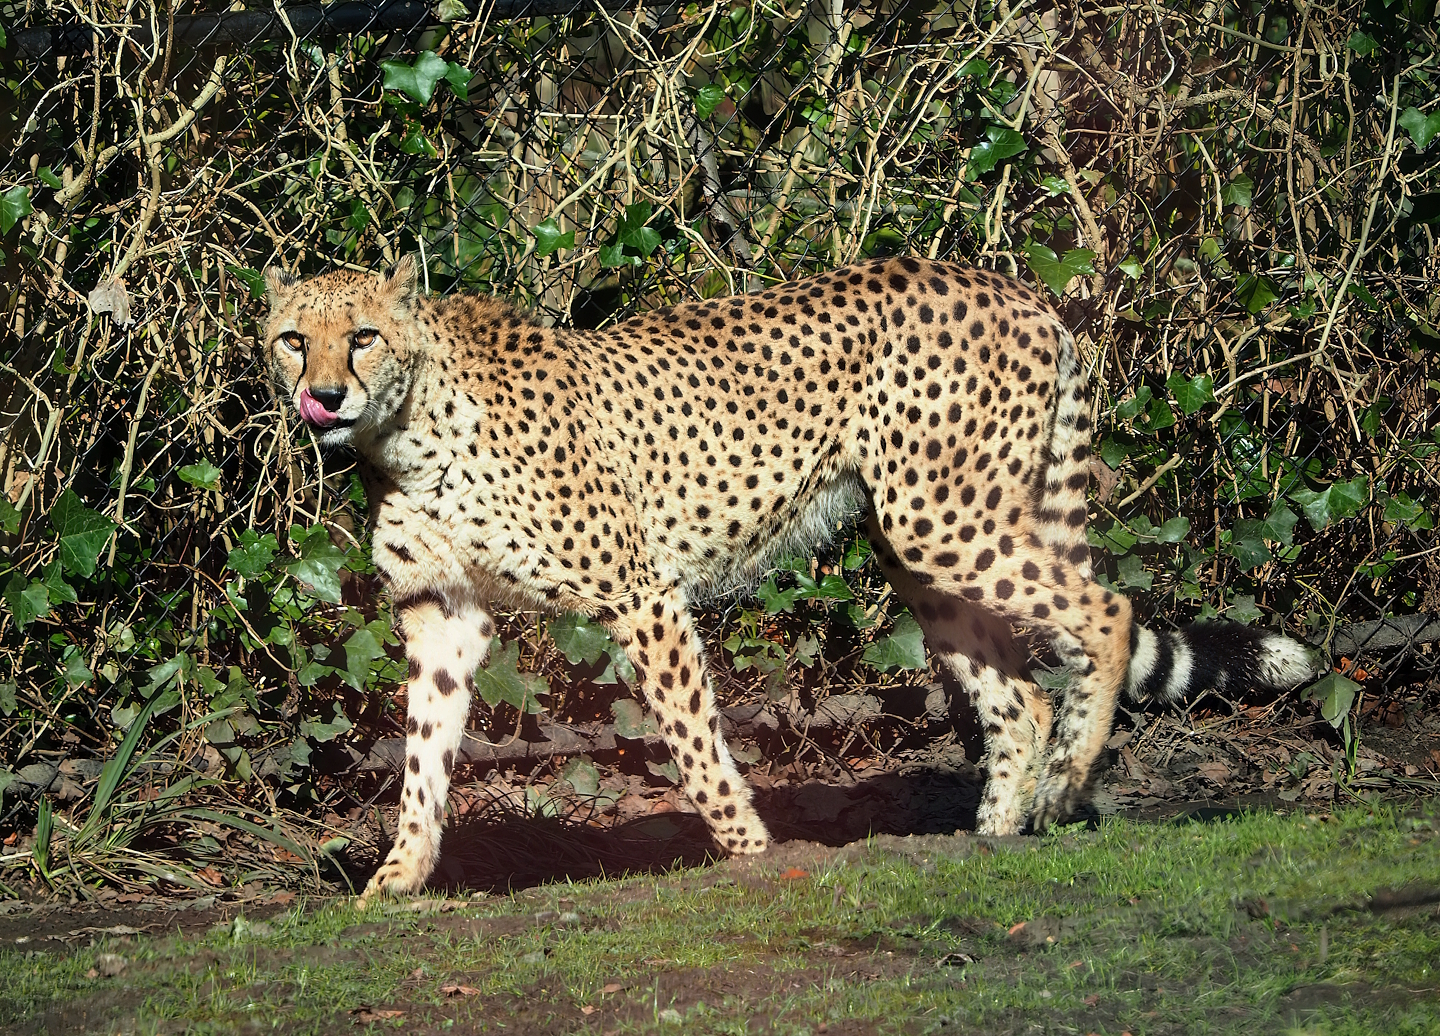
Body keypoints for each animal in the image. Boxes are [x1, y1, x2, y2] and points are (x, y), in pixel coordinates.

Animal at [263, 254, 1325, 904]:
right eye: (292, 339)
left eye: (363, 334)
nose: (324, 393)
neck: (408, 427)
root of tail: (1013, 287)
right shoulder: (442, 610)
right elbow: (422, 755)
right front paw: (397, 878)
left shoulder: (639, 594)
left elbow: (694, 742)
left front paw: (749, 855)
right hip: (921, 549)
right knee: (1016, 695)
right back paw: (987, 841)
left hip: (949, 519)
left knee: (1106, 610)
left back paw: (1064, 787)